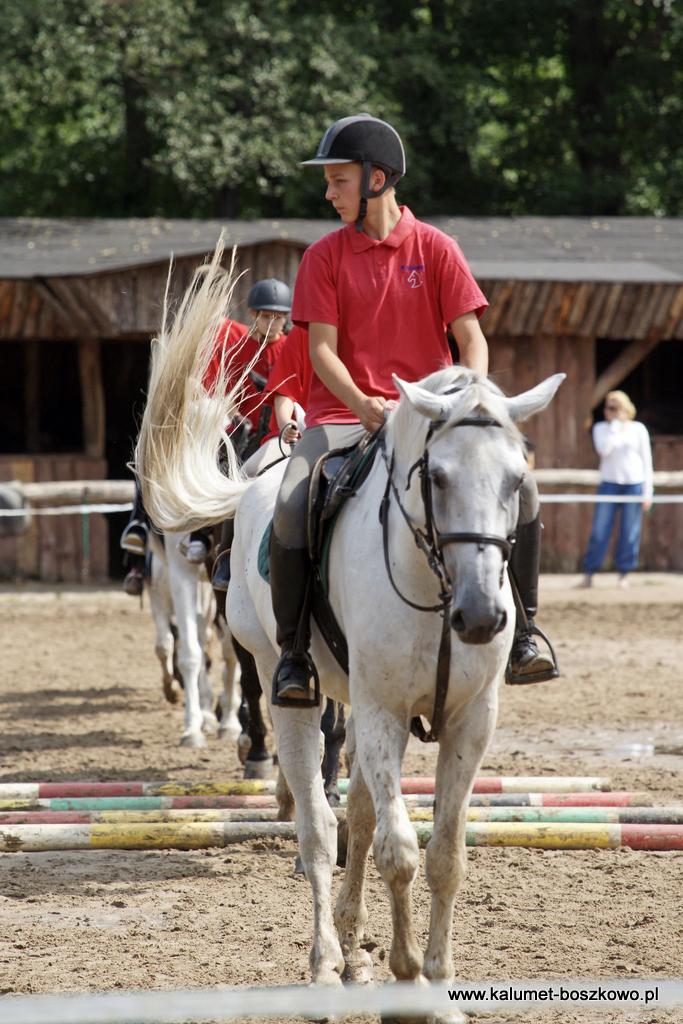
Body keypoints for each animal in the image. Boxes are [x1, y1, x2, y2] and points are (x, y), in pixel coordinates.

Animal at [135, 250, 564, 1016]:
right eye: (437, 476)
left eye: (517, 481)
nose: (482, 617)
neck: (437, 587)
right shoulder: (383, 709)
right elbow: (398, 848)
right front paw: (405, 971)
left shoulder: (470, 718)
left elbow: (443, 853)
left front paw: (435, 976)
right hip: (286, 680)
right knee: (317, 824)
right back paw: (326, 960)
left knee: (356, 815)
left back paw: (353, 942)